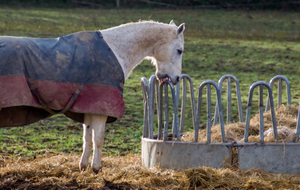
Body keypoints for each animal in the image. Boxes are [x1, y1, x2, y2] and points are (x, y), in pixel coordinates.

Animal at [78, 20, 184, 172]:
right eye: (179, 50)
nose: (176, 78)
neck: (114, 50)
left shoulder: (88, 108)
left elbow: (87, 137)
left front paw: (84, 166)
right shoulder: (101, 109)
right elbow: (98, 138)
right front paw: (96, 167)